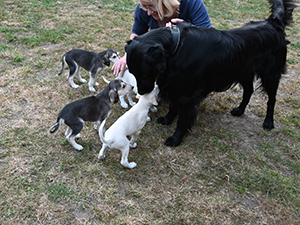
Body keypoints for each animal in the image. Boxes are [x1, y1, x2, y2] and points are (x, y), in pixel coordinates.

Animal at [124, 0, 296, 148]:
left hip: (271, 75)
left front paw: (175, 138)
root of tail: (273, 22)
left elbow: (183, 119)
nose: (141, 92)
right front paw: (167, 119)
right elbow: (173, 107)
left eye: (144, 72)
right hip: (244, 72)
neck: (177, 46)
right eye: (132, 72)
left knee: (271, 100)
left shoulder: (187, 94)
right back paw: (239, 110)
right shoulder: (176, 87)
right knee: (249, 91)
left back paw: (268, 122)